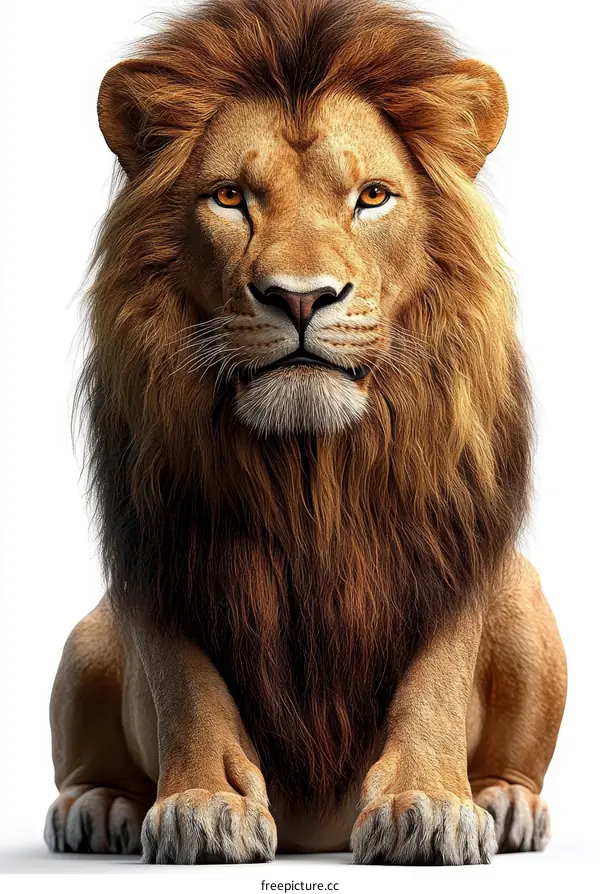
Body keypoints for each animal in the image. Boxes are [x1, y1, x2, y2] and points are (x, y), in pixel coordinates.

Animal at [44, 0, 567, 865]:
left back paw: (505, 802)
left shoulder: (454, 541)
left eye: (372, 196)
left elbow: (434, 681)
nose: (299, 297)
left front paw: (428, 804)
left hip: (523, 599)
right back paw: (100, 806)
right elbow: (187, 686)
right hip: (88, 640)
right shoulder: (156, 545)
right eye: (229, 197)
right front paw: (201, 806)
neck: (310, 470)